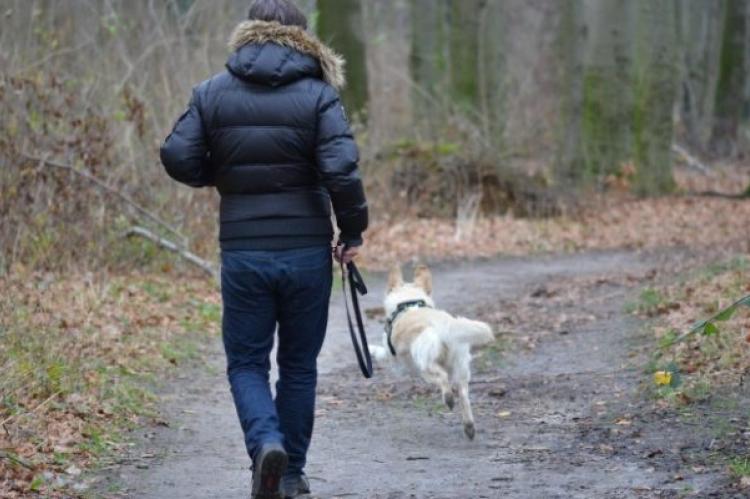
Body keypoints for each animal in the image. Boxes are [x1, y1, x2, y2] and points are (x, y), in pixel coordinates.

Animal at [368, 264, 494, 440]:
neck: (408, 304)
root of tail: (444, 327)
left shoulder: (393, 359)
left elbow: (380, 352)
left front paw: (370, 349)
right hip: (460, 368)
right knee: (463, 394)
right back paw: (468, 426)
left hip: (425, 365)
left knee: (443, 378)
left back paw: (448, 399)